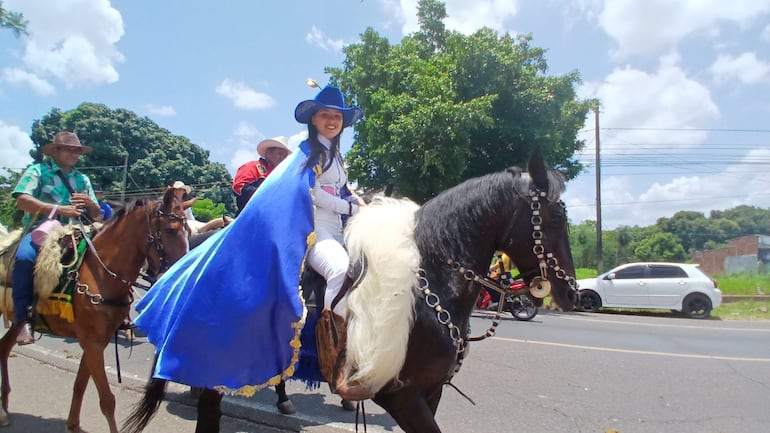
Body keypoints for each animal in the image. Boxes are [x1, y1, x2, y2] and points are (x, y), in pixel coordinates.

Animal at [0, 189, 188, 432]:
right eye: (170, 230)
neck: (99, 273)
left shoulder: (96, 341)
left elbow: (80, 385)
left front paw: (73, 425)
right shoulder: (93, 344)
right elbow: (107, 400)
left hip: (15, 322)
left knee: (4, 349)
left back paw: (4, 408)